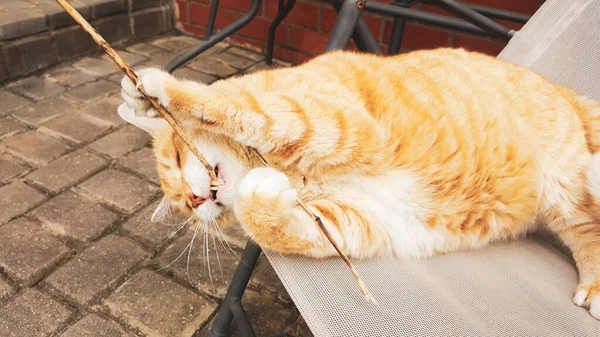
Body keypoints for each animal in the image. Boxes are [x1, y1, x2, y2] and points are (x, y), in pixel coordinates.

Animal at [120, 47, 600, 318]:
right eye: (184, 208)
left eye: (177, 158)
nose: (196, 199)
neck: (298, 176)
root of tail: (564, 90)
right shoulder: (369, 220)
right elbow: (283, 226)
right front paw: (261, 200)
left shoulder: (337, 122)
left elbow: (244, 108)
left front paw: (161, 93)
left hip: (565, 186)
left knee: (588, 228)